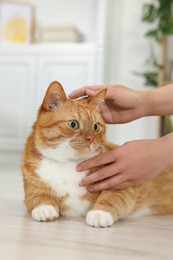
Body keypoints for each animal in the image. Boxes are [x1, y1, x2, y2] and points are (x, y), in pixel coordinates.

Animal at [21, 81, 173, 228]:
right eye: (73, 124)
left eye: (95, 127)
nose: (91, 139)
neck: (68, 163)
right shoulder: (31, 189)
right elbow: (38, 196)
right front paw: (44, 207)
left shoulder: (122, 182)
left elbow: (111, 196)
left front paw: (100, 213)